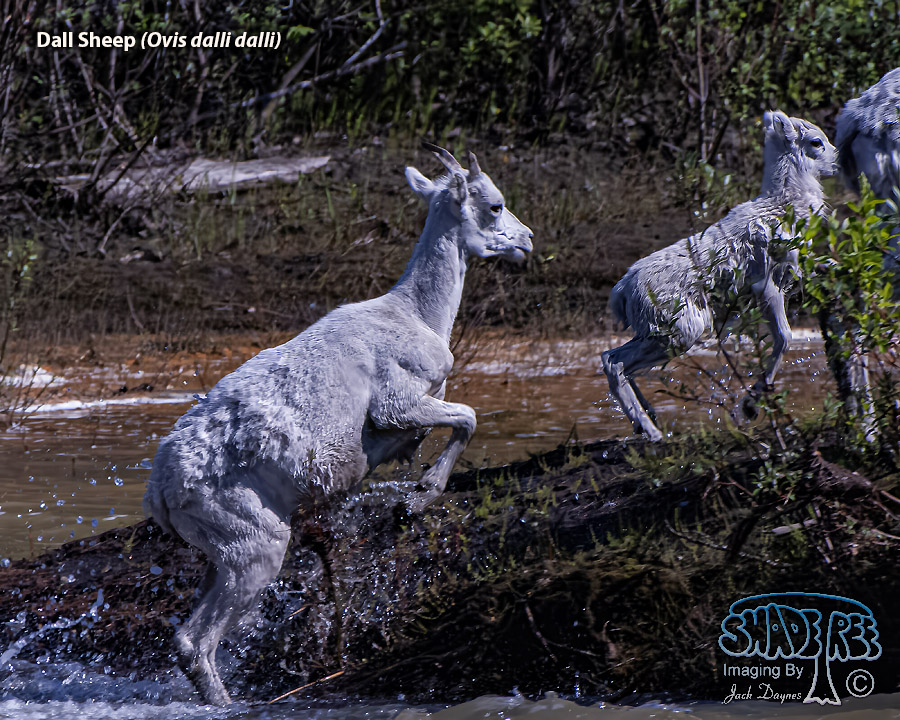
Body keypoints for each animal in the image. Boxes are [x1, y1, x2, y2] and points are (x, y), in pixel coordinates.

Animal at [142, 144, 533, 705]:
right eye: (496, 204)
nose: (527, 240)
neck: (418, 316)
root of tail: (162, 491)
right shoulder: (398, 404)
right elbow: (466, 419)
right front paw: (416, 499)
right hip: (254, 549)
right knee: (197, 643)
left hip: (220, 556)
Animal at [602, 111, 837, 441]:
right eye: (816, 142)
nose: (836, 162)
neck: (784, 204)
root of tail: (622, 290)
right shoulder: (767, 287)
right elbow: (784, 339)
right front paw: (749, 406)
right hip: (680, 331)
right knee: (615, 363)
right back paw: (652, 431)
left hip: (656, 331)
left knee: (613, 359)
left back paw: (648, 419)